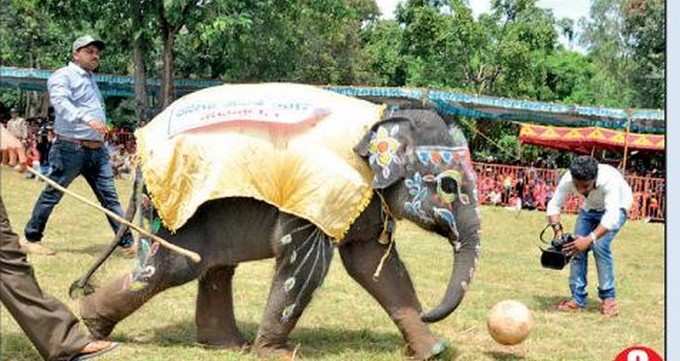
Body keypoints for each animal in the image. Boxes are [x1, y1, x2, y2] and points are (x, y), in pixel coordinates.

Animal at [78, 83, 478, 358]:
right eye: (449, 185)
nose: (430, 313)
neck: (381, 120)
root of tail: (139, 154)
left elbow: (373, 266)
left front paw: (434, 350)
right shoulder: (316, 193)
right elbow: (306, 265)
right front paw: (279, 354)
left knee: (216, 266)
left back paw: (228, 345)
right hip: (172, 208)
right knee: (171, 268)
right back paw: (92, 327)